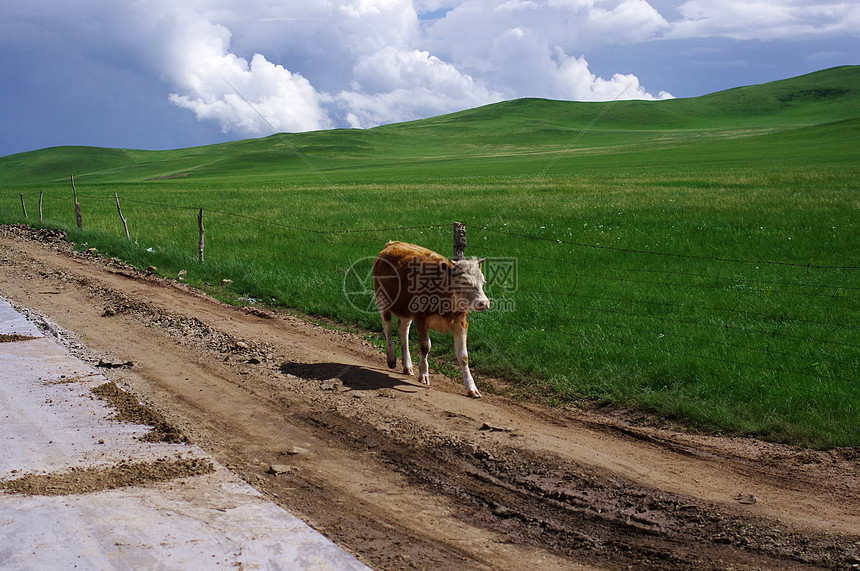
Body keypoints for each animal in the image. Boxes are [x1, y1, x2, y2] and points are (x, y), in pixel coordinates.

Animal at [372, 240, 490, 398]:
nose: (483, 303)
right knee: (387, 326)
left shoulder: (460, 323)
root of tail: (392, 243)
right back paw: (391, 357)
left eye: (482, 281)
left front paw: (471, 387)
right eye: (463, 282)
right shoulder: (420, 319)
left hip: (406, 311)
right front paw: (423, 374)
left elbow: (464, 356)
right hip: (383, 299)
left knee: (403, 330)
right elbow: (425, 346)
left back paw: (407, 365)